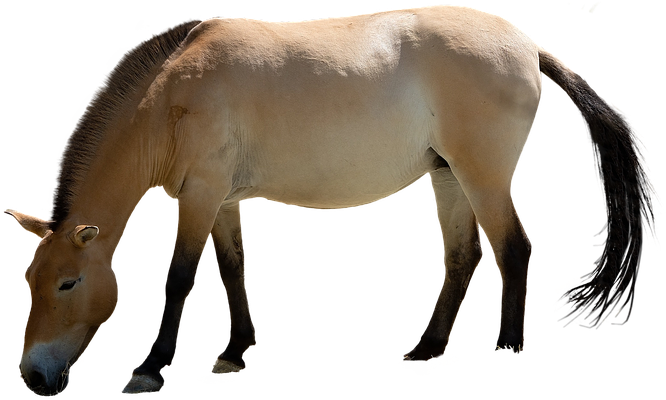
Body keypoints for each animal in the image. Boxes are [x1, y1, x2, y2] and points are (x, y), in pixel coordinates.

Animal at [6, 5, 660, 396]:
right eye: (30, 283)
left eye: (68, 283)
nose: (34, 376)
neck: (172, 93)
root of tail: (526, 44)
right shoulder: (221, 199)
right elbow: (232, 267)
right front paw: (234, 353)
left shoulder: (201, 196)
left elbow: (180, 277)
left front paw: (149, 366)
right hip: (449, 176)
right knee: (463, 258)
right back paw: (426, 348)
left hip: (483, 176)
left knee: (512, 248)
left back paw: (507, 346)